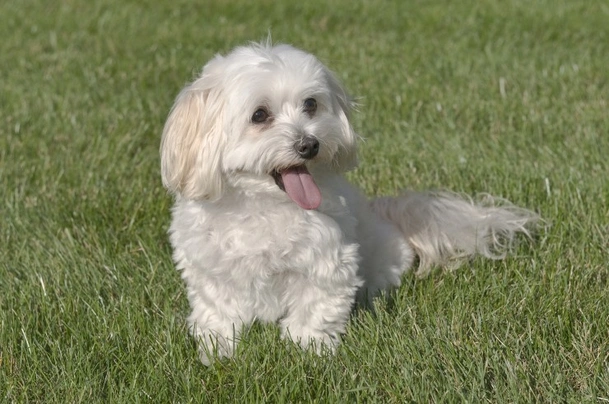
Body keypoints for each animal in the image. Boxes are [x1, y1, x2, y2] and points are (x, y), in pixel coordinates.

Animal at [158, 42, 536, 364]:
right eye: (259, 115)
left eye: (311, 104)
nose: (309, 144)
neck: (264, 207)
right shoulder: (210, 271)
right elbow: (217, 312)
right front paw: (217, 351)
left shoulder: (328, 263)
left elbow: (315, 311)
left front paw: (310, 351)